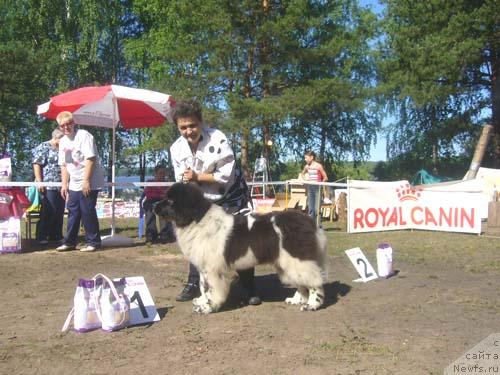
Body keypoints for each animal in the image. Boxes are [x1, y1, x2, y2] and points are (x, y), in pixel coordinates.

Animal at [156, 182, 328, 314]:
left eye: (170, 200)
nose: (153, 206)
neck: (196, 219)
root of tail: (308, 221)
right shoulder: (203, 268)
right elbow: (203, 287)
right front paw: (201, 301)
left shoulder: (213, 269)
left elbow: (211, 289)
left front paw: (207, 307)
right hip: (288, 262)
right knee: (301, 282)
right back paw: (296, 300)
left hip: (298, 259)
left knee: (314, 282)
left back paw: (312, 304)